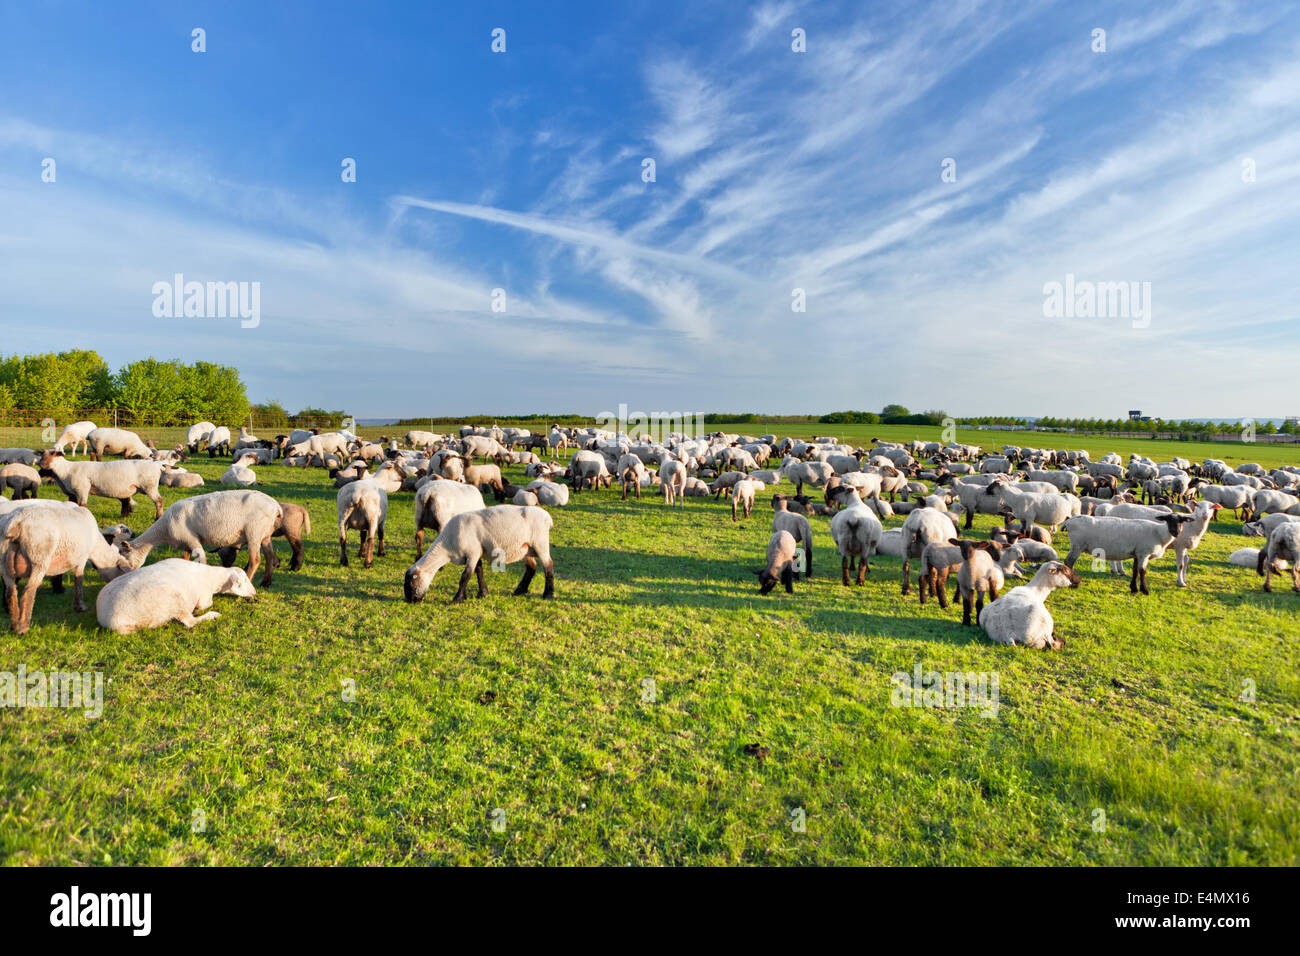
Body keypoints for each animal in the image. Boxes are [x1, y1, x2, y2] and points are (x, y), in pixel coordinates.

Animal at [1, 504, 132, 632]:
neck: (96, 546)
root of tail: (15, 522)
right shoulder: (82, 559)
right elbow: (78, 582)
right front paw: (80, 606)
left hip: (5, 563)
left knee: (10, 592)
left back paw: (13, 625)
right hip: (38, 557)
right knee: (29, 591)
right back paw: (23, 628)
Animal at [37, 450, 165, 518]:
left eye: (51, 455)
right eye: (41, 456)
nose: (39, 471)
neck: (65, 470)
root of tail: (157, 465)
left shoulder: (82, 489)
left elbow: (82, 505)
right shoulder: (72, 493)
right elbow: (72, 505)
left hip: (150, 487)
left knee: (159, 500)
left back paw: (158, 517)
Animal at [96, 559, 256, 634]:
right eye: (244, 580)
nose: (254, 593)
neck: (211, 577)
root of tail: (110, 620)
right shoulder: (204, 596)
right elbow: (204, 605)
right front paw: (200, 609)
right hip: (174, 600)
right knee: (190, 622)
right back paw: (213, 615)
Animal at [403, 505, 554, 603]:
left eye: (411, 582)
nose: (411, 601)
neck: (447, 545)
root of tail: (548, 517)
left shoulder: (473, 552)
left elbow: (465, 576)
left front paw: (458, 599)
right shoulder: (477, 552)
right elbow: (479, 571)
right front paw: (482, 593)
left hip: (540, 543)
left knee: (548, 566)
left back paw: (548, 594)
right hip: (526, 548)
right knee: (531, 567)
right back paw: (520, 590)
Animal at [1062, 513, 1191, 594]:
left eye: (1181, 521)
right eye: (1168, 520)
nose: (1176, 532)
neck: (1159, 533)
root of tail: (1069, 521)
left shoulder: (1137, 554)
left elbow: (1135, 571)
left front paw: (1133, 589)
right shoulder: (1144, 553)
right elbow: (1142, 571)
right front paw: (1145, 591)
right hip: (1077, 545)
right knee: (1069, 562)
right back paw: (1073, 583)